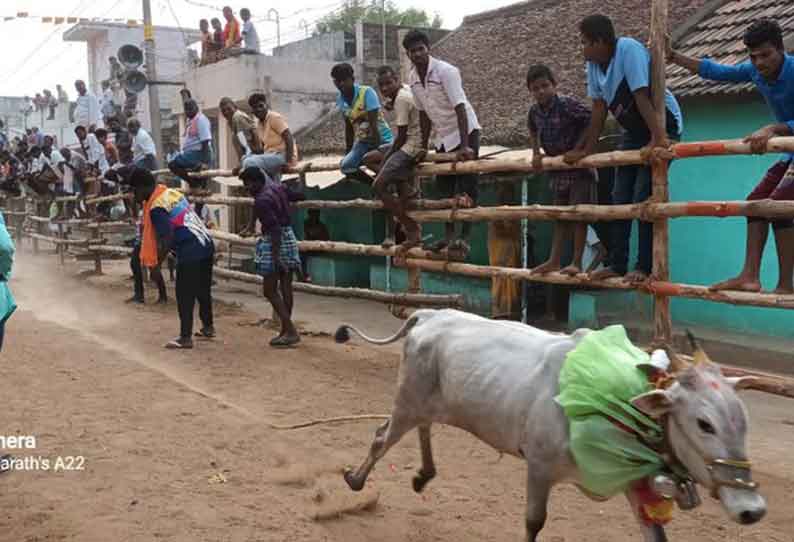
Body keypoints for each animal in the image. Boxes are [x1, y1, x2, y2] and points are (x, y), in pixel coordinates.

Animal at [332, 310, 760, 542]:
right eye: (704, 424)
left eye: (743, 421)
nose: (752, 509)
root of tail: (431, 314)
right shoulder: (539, 468)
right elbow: (534, 522)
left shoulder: (632, 483)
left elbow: (656, 535)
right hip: (408, 400)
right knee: (381, 437)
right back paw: (356, 479)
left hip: (430, 402)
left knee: (424, 428)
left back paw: (424, 474)